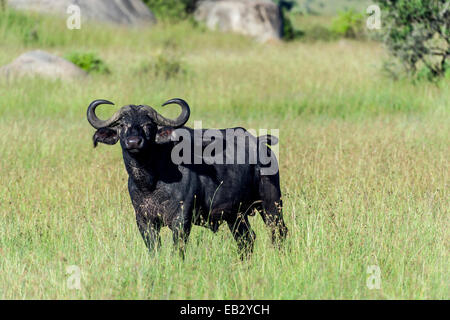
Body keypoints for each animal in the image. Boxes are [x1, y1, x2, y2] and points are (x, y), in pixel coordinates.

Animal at [86, 98, 286, 258]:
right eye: (122, 125)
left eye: (148, 125)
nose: (134, 142)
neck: (151, 181)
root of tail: (261, 143)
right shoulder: (144, 221)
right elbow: (154, 251)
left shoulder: (181, 220)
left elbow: (177, 250)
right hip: (236, 216)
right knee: (247, 239)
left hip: (271, 204)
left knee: (279, 233)